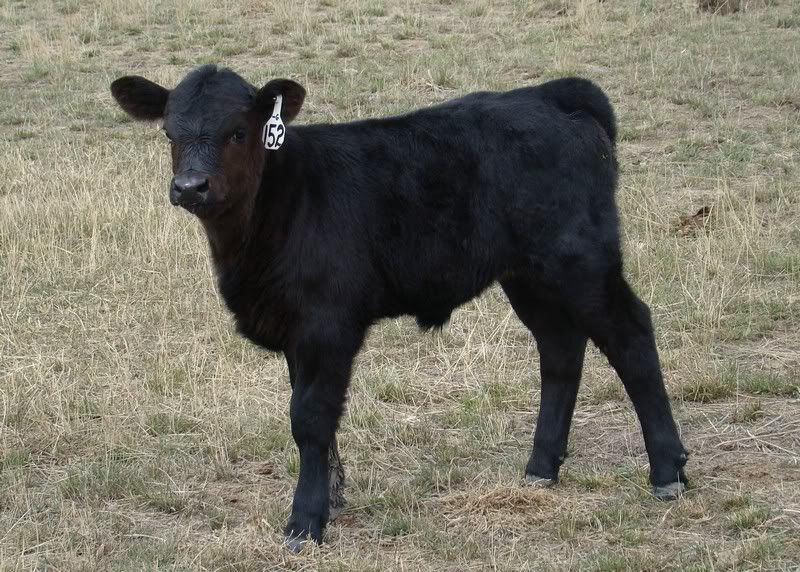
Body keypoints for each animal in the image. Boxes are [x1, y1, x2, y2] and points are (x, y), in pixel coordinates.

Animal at [110, 65, 689, 549]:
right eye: (170, 133)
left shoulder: (326, 323)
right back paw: (542, 466)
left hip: (582, 261)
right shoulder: (297, 328)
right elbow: (311, 413)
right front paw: (333, 495)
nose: (190, 187)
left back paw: (668, 472)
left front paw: (305, 522)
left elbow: (310, 417)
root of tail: (553, 94)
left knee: (632, 337)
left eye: (237, 131)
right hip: (528, 275)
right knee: (561, 348)